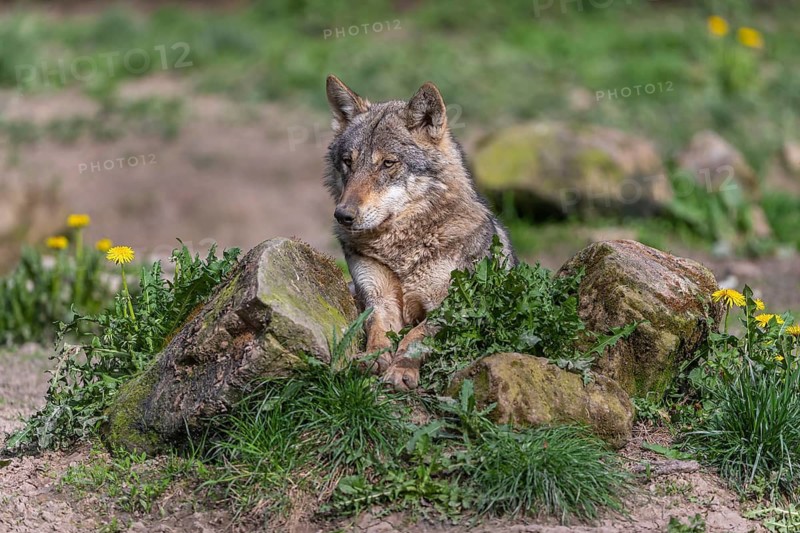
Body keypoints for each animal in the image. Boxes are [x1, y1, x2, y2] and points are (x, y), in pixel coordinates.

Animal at [324, 75, 517, 390]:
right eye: (348, 162)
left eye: (388, 163)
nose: (343, 216)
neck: (402, 251)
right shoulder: (377, 298)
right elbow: (376, 328)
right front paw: (373, 358)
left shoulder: (453, 306)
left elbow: (417, 336)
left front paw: (401, 370)